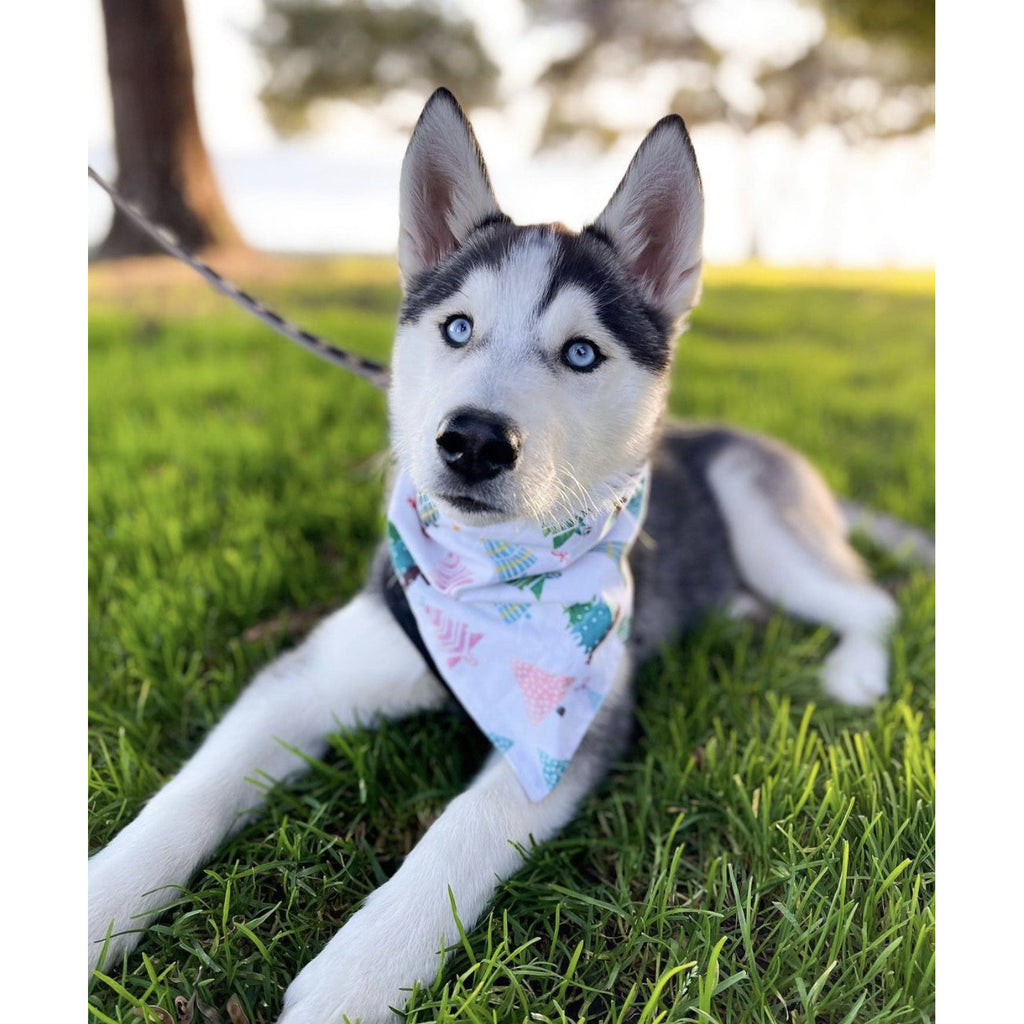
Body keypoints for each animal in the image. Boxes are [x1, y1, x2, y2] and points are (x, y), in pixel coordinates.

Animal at [92, 90, 901, 1024]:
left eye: (582, 352)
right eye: (457, 328)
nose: (474, 440)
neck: (489, 585)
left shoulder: (573, 727)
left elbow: (461, 831)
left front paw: (357, 974)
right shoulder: (315, 673)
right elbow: (193, 790)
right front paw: (98, 903)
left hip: (760, 515)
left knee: (876, 603)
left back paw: (853, 671)